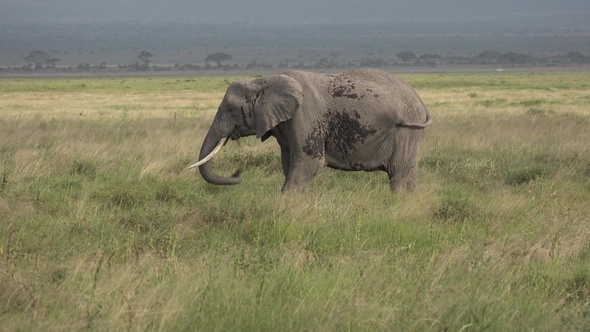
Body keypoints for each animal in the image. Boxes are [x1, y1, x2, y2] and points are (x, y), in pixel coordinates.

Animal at [192, 68, 432, 192]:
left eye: (230, 108)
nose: (238, 174)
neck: (263, 80)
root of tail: (421, 102)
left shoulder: (305, 118)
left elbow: (308, 164)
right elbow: (290, 165)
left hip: (406, 132)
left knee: (399, 175)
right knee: (407, 175)